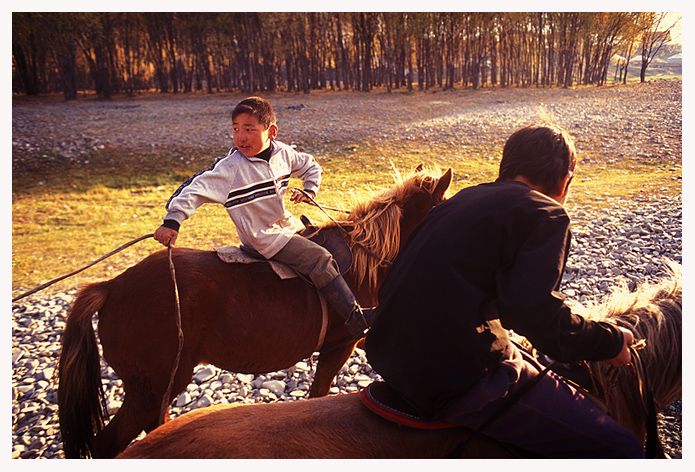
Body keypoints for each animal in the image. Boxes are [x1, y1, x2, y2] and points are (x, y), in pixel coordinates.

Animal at [57, 165, 454, 458]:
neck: (363, 264)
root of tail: (112, 286)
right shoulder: (340, 347)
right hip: (149, 389)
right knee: (107, 444)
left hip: (156, 391)